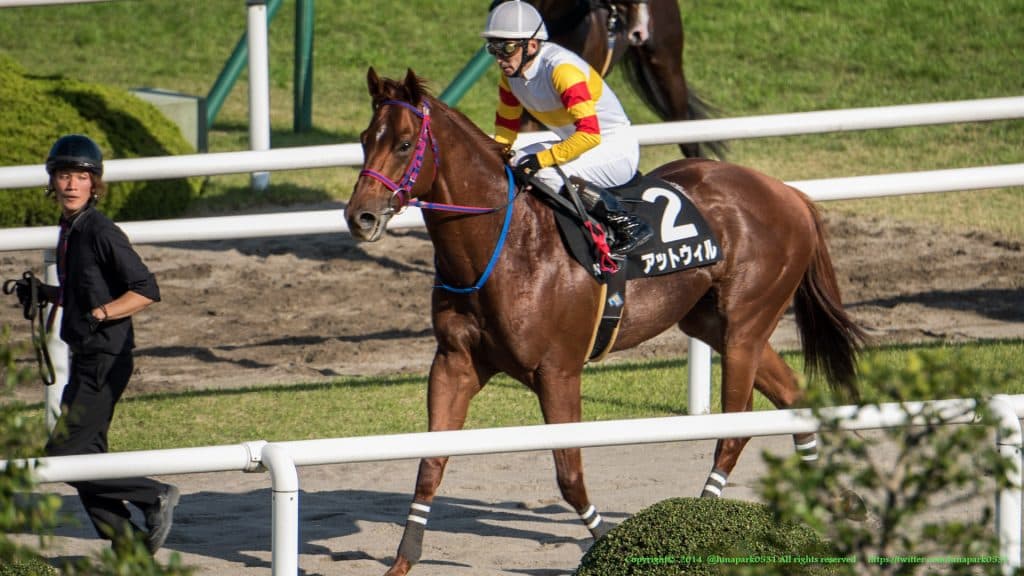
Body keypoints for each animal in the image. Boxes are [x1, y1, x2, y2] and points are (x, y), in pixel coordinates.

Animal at [347, 68, 865, 576]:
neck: (503, 248)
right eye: (365, 139)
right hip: (712, 325)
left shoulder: (557, 372)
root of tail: (789, 193)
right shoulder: (455, 363)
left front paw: (608, 543)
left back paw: (702, 522)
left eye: (405, 144)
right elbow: (430, 463)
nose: (360, 216)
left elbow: (570, 476)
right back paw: (833, 500)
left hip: (745, 325)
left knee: (734, 434)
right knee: (794, 396)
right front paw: (402, 560)